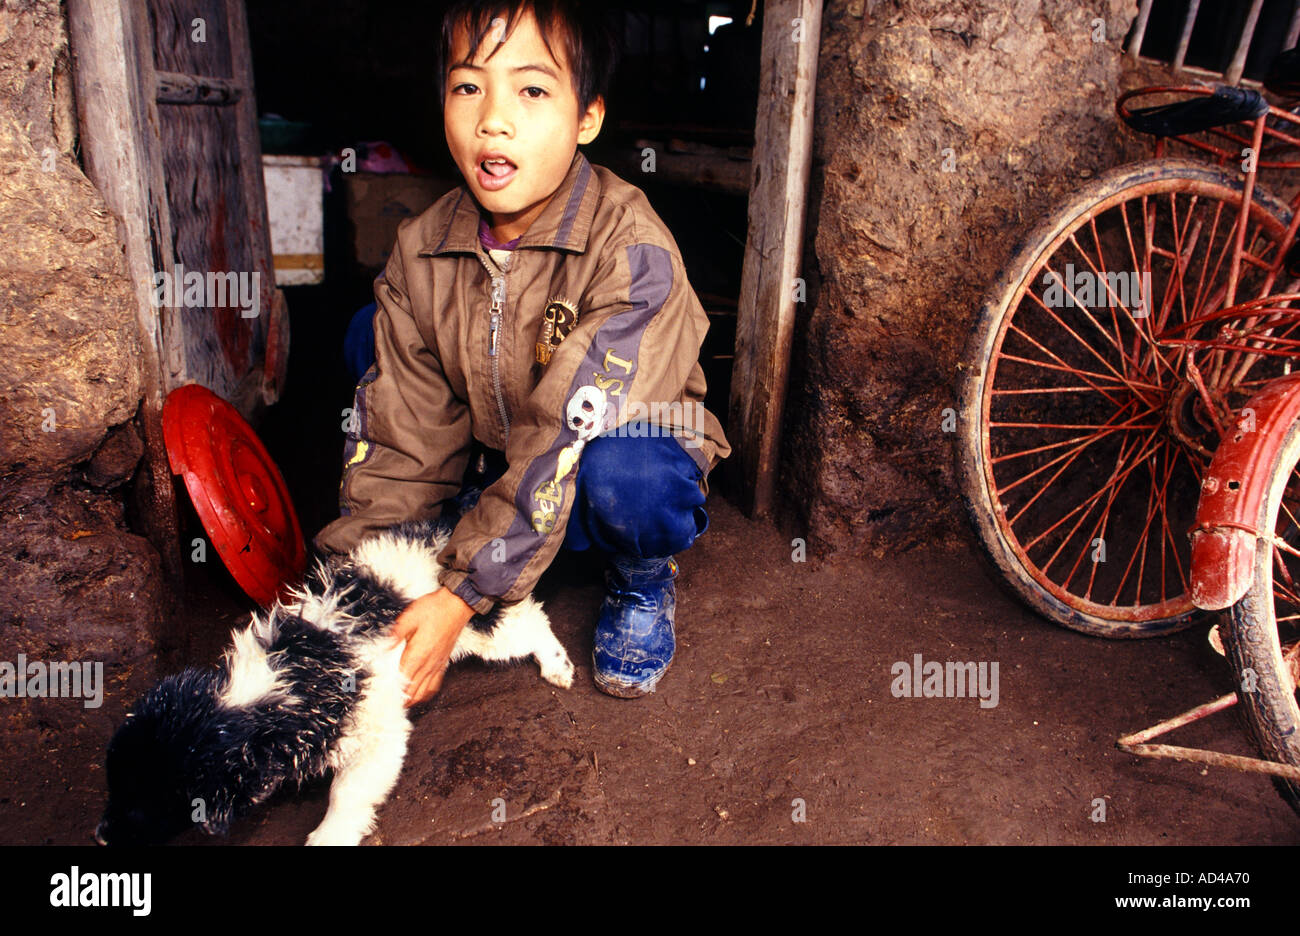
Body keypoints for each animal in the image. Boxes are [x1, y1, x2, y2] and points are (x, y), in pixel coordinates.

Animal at [96, 520, 574, 847]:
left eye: (150, 803)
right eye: (113, 785)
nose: (100, 836)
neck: (279, 684)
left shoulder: (376, 728)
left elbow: (349, 791)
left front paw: (330, 835)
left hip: (476, 627)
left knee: (529, 622)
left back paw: (558, 665)